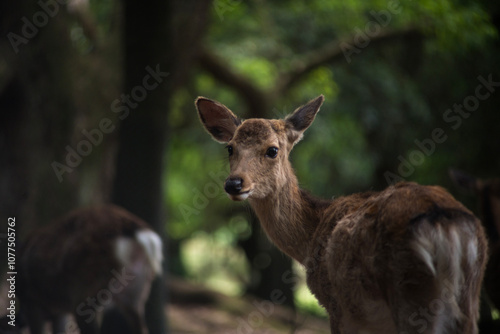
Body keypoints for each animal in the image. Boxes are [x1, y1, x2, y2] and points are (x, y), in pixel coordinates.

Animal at [196, 95, 488, 332]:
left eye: (272, 150)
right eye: (230, 147)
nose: (234, 183)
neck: (310, 237)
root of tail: (446, 223)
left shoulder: (336, 307)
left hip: (412, 295)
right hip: (470, 301)